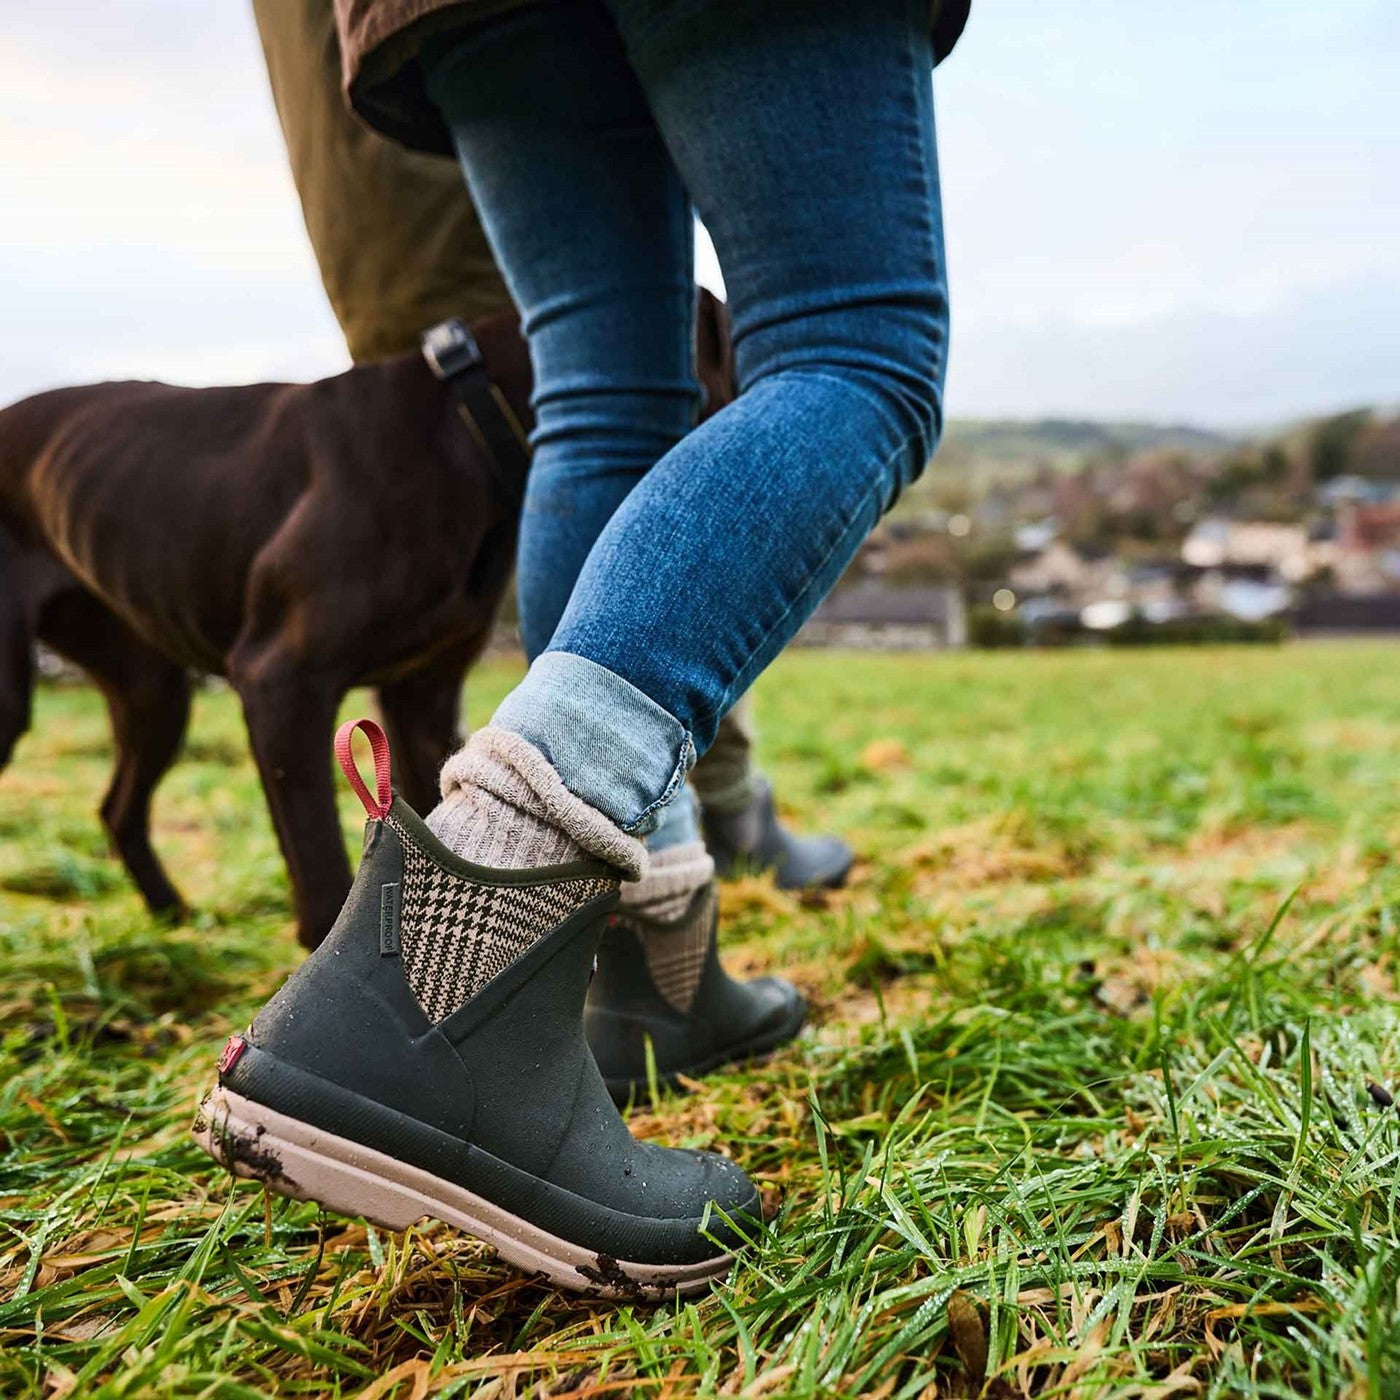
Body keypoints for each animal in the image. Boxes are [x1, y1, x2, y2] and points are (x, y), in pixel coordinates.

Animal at [0, 289, 739, 946]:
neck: (463, 424)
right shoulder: (282, 684)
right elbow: (321, 863)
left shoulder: (421, 695)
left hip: (152, 694)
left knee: (118, 805)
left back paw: (170, 914)